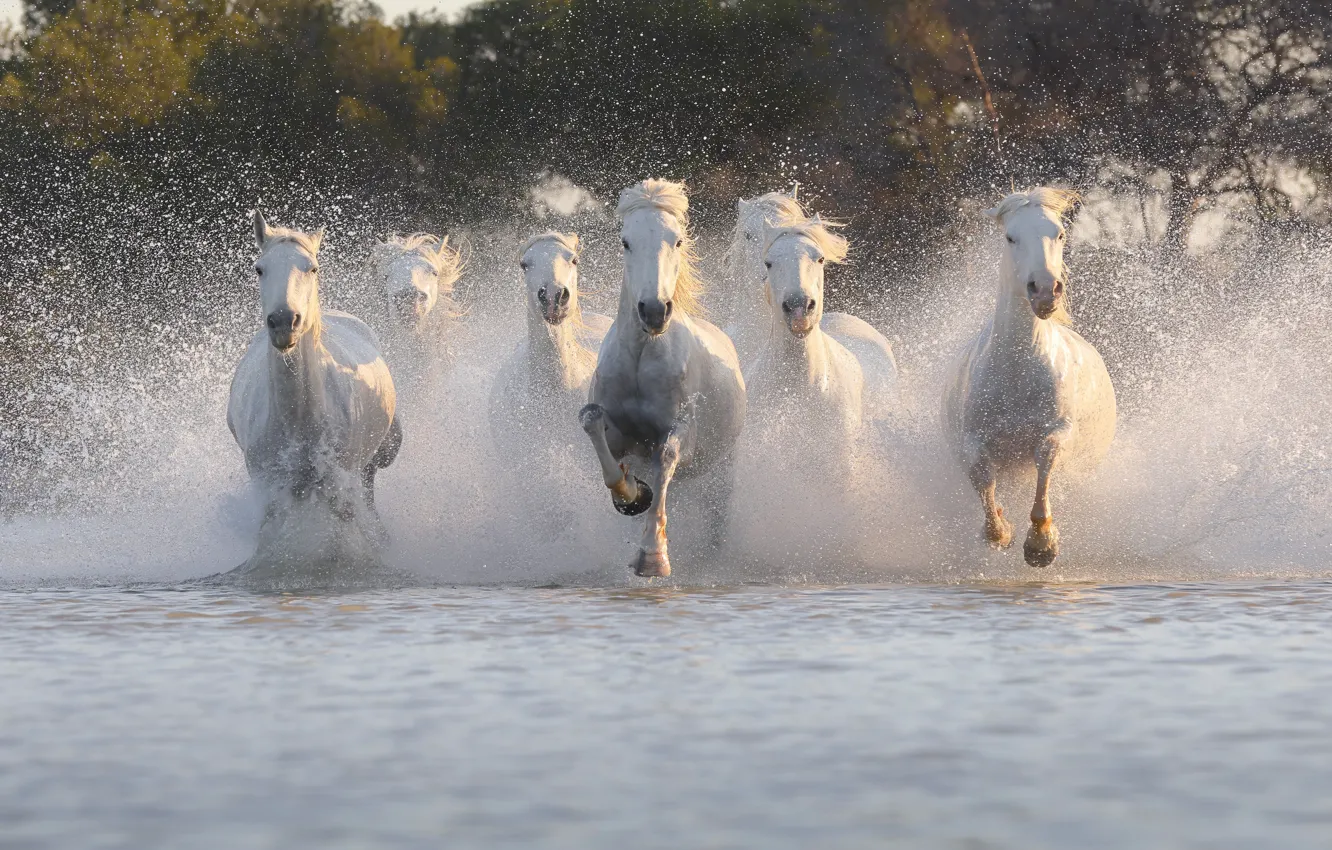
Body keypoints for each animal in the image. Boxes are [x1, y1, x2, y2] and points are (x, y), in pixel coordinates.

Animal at [227, 212, 402, 550]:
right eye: (259, 268)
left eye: (312, 268)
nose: (284, 322)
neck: (299, 421)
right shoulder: (271, 492)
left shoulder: (340, 491)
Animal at [579, 179, 747, 577]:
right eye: (626, 241)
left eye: (678, 240)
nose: (654, 311)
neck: (642, 357)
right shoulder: (620, 436)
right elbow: (593, 425)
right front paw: (631, 494)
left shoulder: (682, 431)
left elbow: (666, 455)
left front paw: (653, 558)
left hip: (722, 468)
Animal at [942, 188, 1116, 567]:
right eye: (1010, 237)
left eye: (1060, 234)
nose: (1046, 289)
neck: (1017, 373)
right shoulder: (972, 439)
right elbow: (982, 477)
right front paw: (999, 531)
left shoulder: (1059, 430)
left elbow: (1046, 460)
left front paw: (1041, 545)